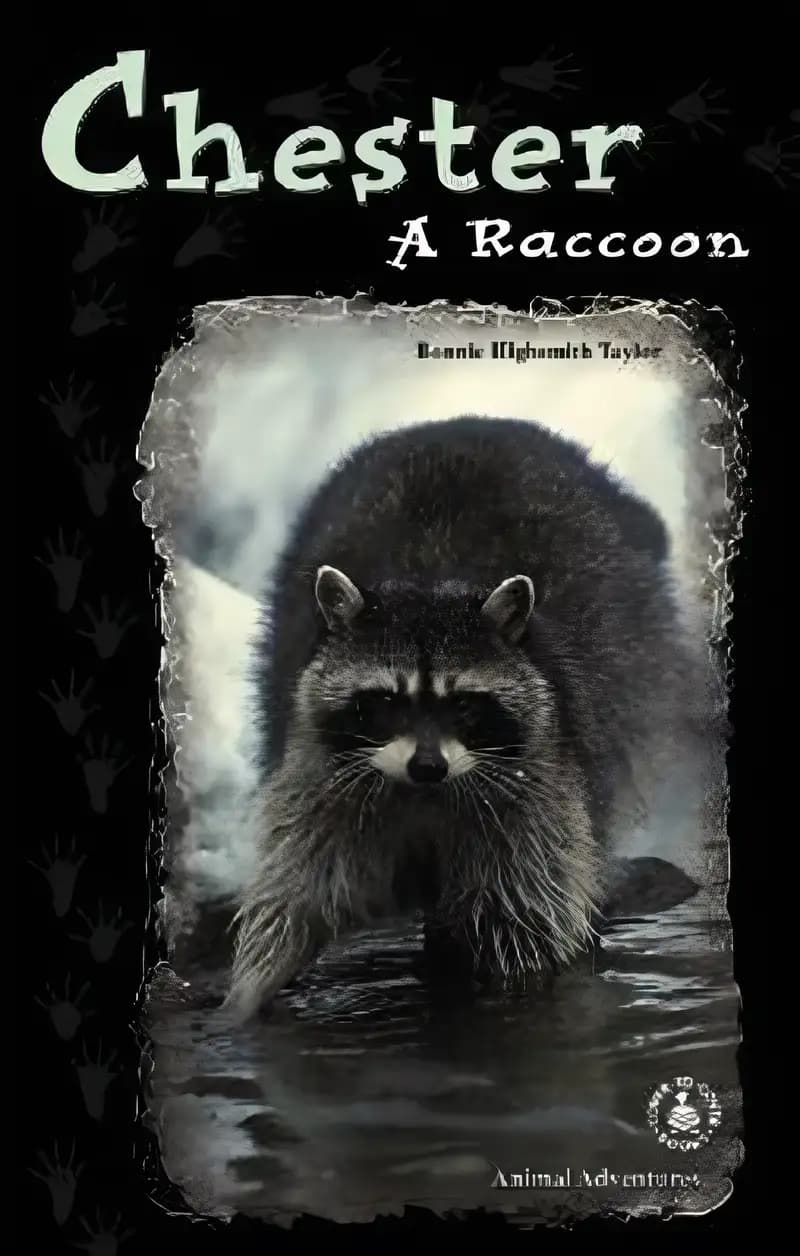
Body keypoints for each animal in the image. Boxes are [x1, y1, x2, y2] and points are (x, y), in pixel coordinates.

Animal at [225, 415, 695, 1020]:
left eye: (465, 704)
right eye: (385, 702)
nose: (428, 766)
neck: (430, 584)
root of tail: (469, 421)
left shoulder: (536, 787)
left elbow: (526, 920)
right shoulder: (322, 779)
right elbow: (292, 901)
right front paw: (245, 1002)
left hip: (633, 688)